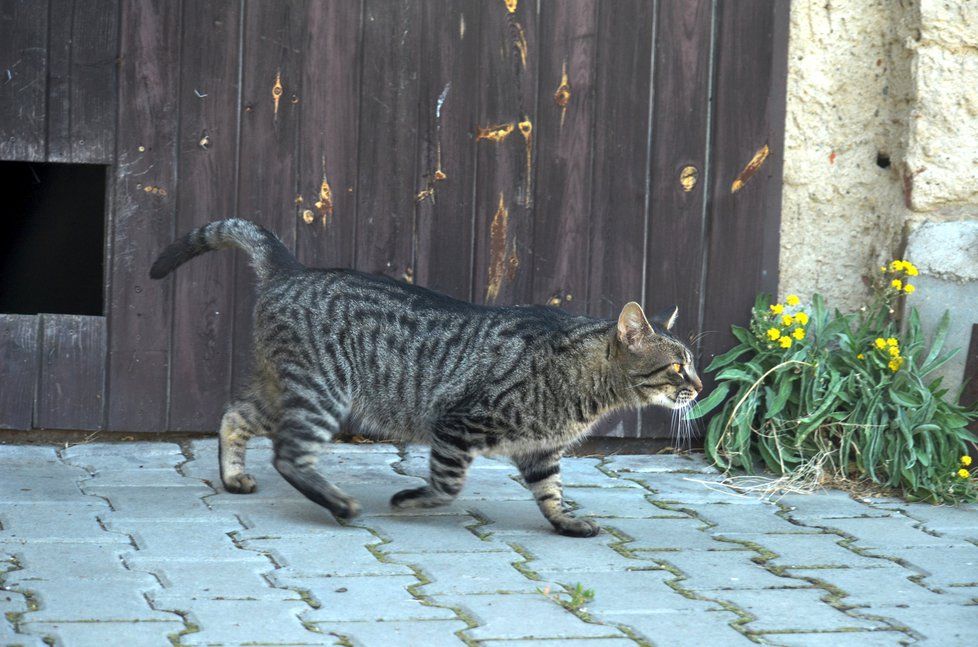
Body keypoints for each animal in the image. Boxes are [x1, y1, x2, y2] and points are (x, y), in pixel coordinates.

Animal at [151, 220, 700, 540]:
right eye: (678, 366)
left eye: (692, 363)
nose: (701, 385)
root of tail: (293, 269)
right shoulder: (458, 424)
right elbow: (447, 484)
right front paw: (411, 500)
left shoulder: (540, 450)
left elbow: (551, 492)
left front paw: (565, 521)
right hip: (322, 393)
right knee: (288, 454)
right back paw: (338, 503)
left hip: (282, 390)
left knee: (233, 415)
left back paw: (234, 477)